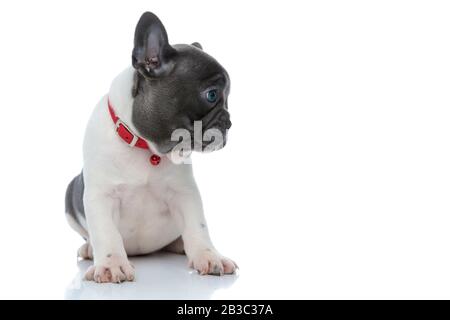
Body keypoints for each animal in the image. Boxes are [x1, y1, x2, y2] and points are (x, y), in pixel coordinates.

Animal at [66, 11, 239, 282]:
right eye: (211, 95)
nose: (229, 122)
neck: (145, 146)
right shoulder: (100, 196)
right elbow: (106, 232)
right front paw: (111, 263)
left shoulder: (184, 193)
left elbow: (198, 226)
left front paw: (209, 256)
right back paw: (89, 248)